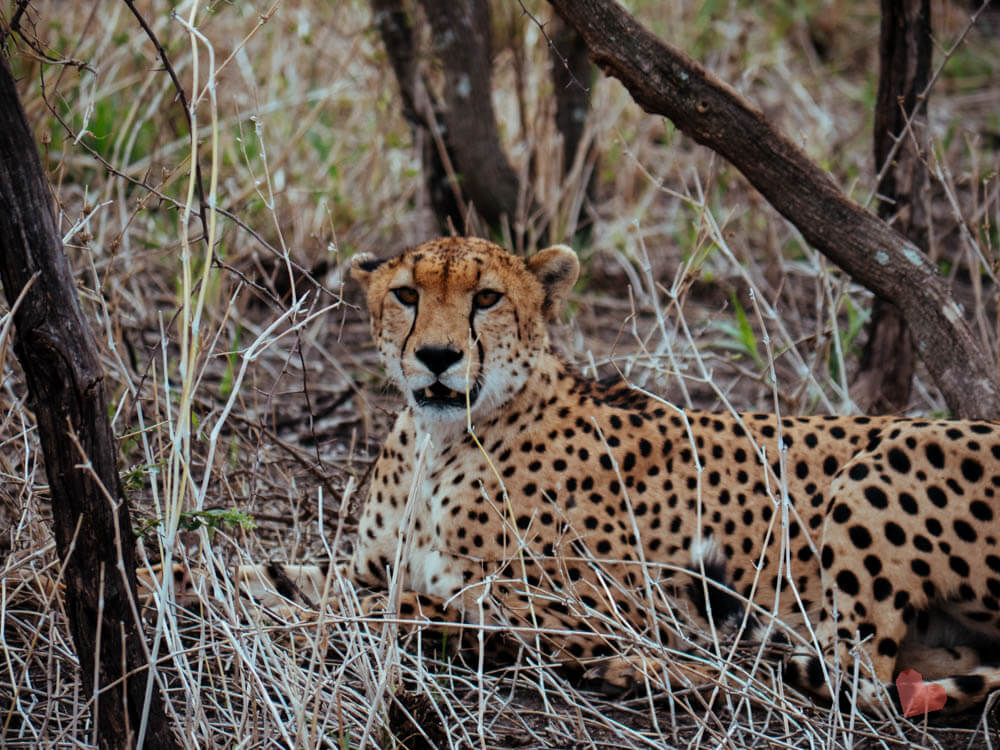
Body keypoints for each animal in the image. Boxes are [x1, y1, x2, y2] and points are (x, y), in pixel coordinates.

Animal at [242, 241, 1000, 716]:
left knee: (859, 681)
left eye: (486, 298)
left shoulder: (591, 608)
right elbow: (298, 576)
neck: (443, 441)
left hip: (892, 453)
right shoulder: (374, 563)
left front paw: (307, 618)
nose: (436, 356)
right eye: (405, 294)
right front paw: (243, 583)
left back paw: (653, 671)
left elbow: (401, 605)